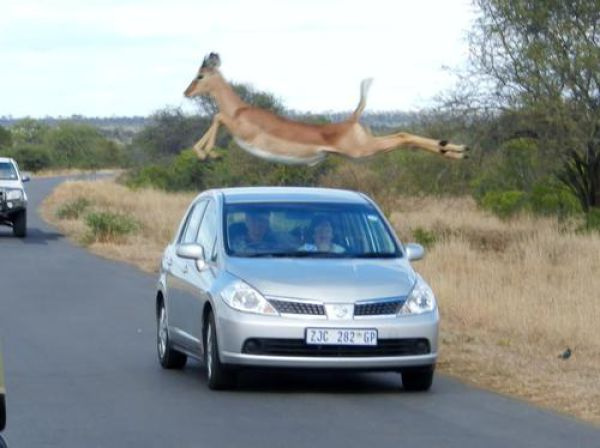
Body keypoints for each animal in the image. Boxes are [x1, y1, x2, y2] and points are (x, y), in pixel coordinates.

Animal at [183, 52, 468, 164]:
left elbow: (217, 117)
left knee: (402, 135)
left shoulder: (240, 130)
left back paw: (457, 149)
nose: (186, 92)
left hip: (363, 150)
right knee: (403, 136)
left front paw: (208, 153)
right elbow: (217, 117)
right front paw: (208, 153)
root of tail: (352, 119)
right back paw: (457, 150)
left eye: (200, 75)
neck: (240, 109)